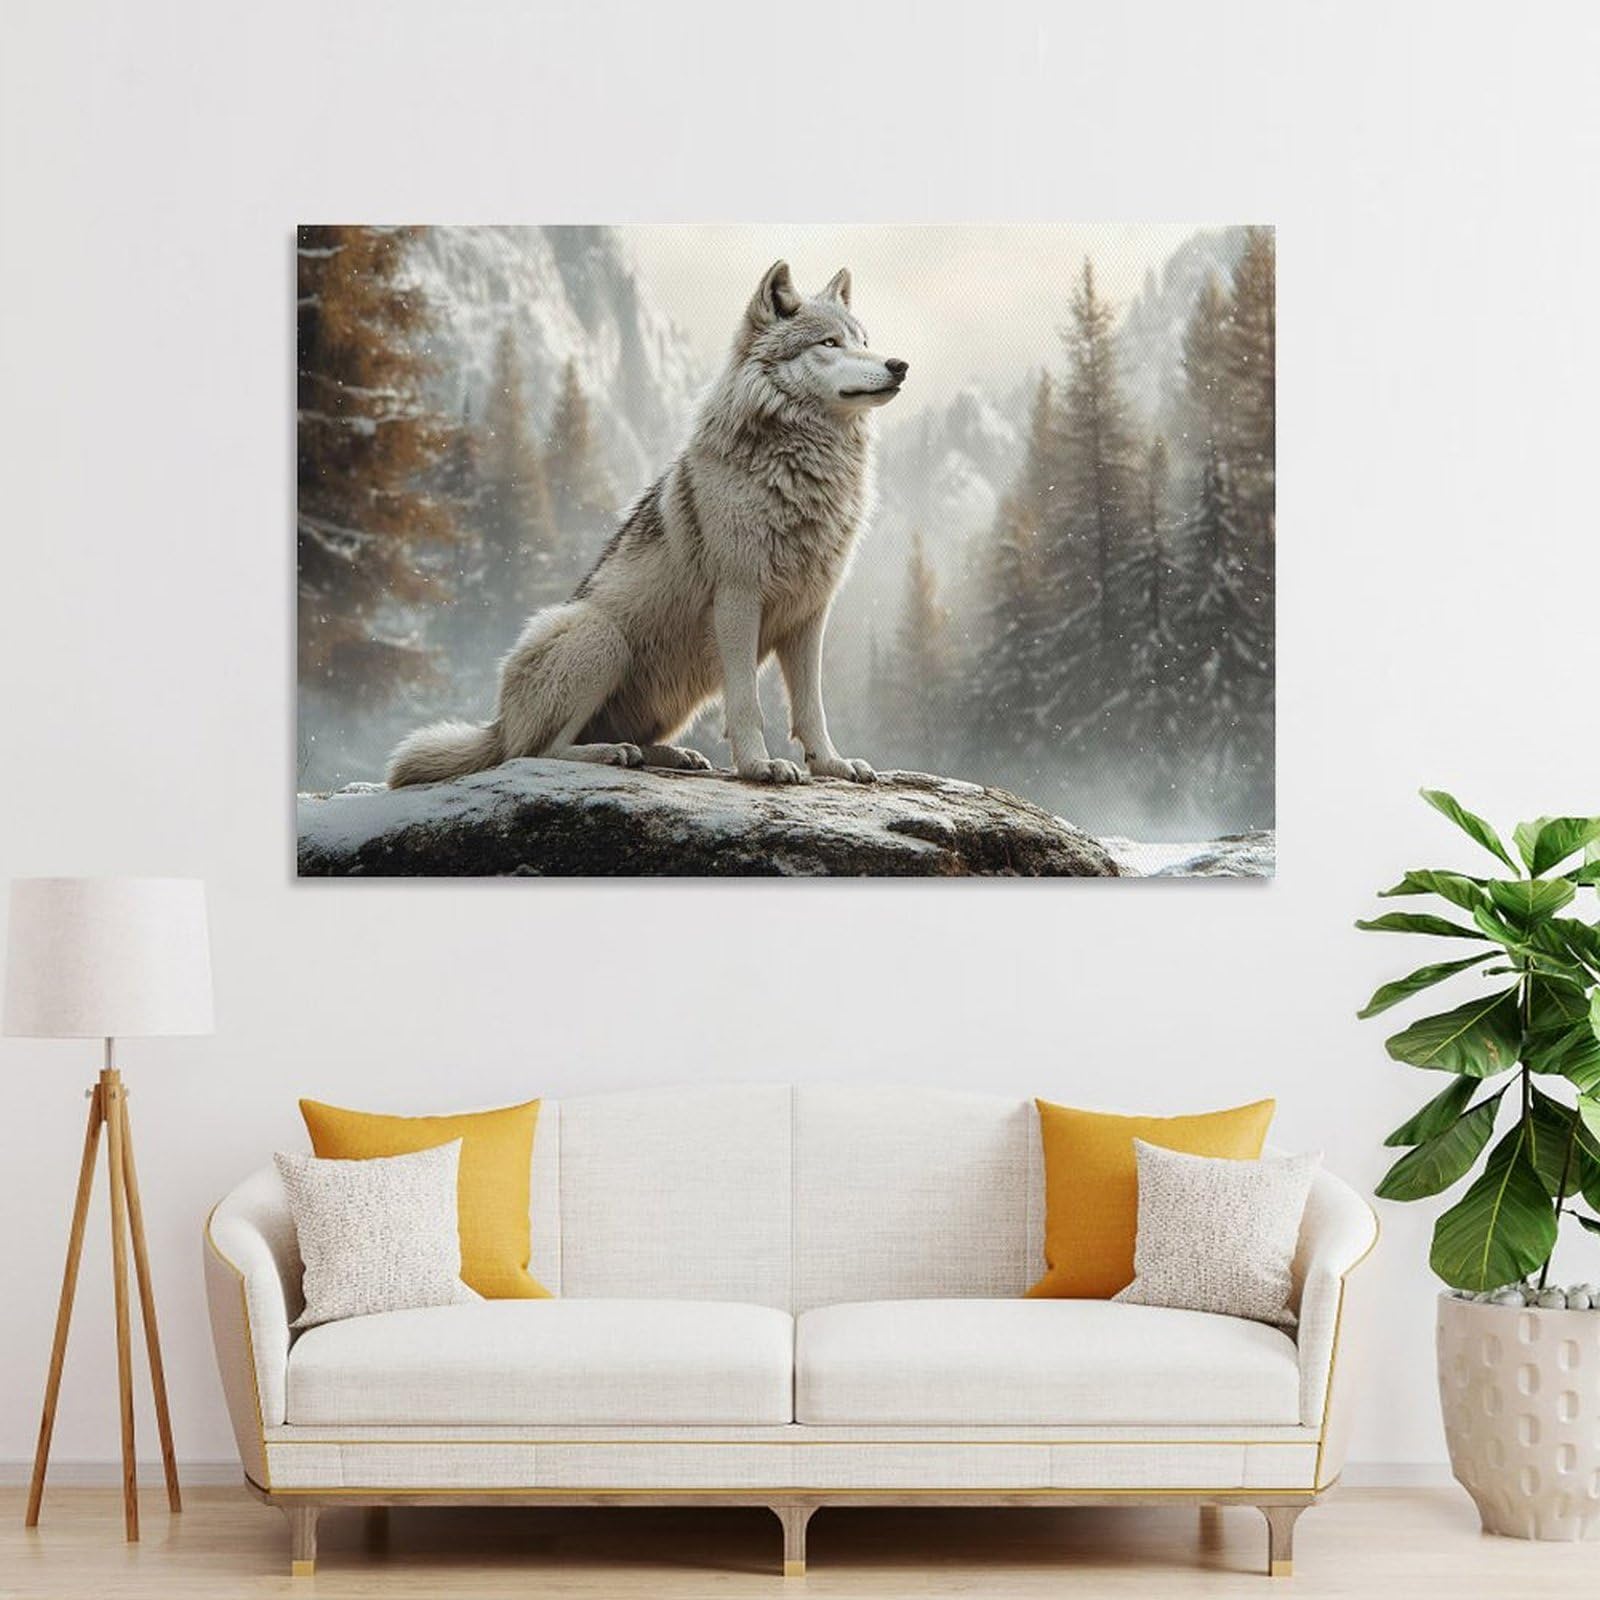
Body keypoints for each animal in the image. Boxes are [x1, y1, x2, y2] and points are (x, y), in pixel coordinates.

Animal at [386, 260, 907, 789]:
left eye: (865, 340)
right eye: (829, 343)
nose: (899, 364)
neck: (802, 470)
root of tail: (497, 724)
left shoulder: (810, 613)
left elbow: (811, 709)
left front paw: (833, 765)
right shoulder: (738, 599)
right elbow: (747, 704)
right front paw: (759, 766)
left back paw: (671, 755)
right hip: (599, 636)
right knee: (535, 751)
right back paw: (611, 754)